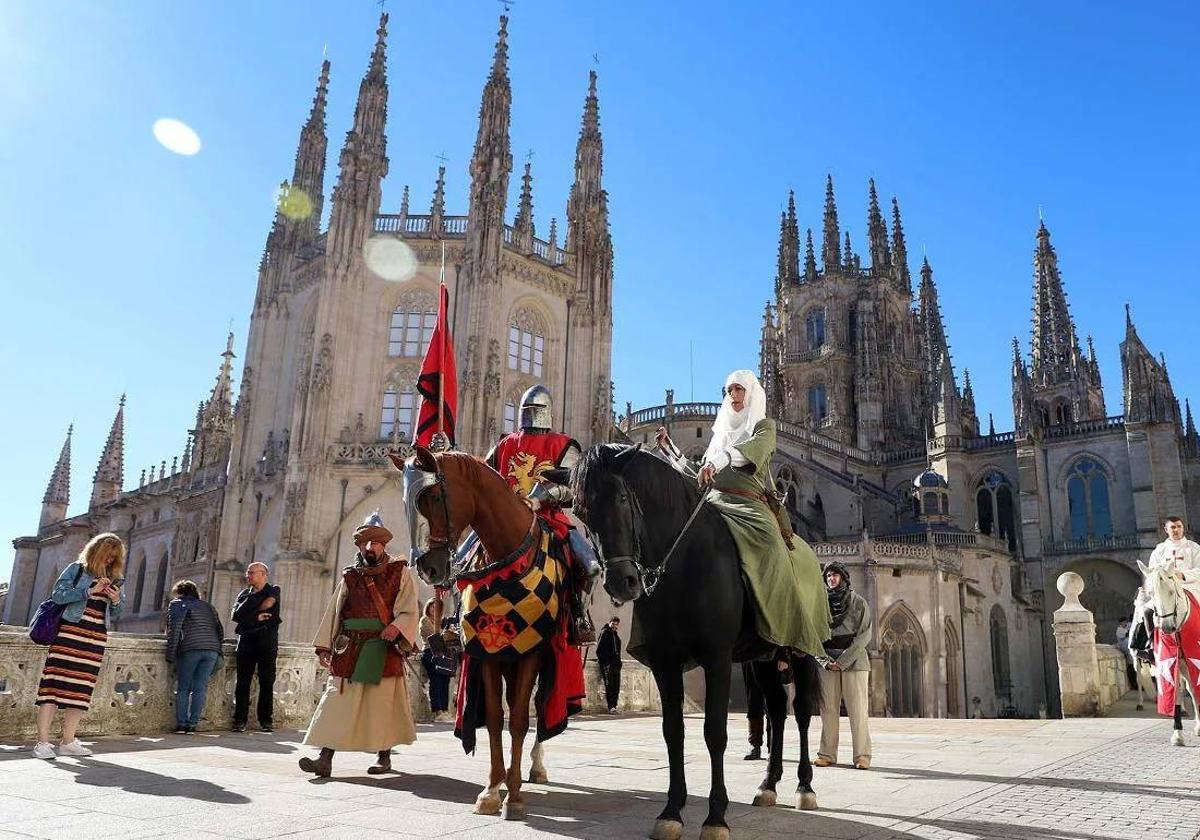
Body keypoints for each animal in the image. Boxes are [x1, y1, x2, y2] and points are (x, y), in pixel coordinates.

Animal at [393, 446, 580, 820]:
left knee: (541, 708)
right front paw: (493, 790)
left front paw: (515, 797)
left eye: (434, 496)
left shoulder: (531, 653)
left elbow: (520, 720)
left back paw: (535, 767)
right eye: (405, 501)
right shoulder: (489, 654)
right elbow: (495, 719)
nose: (428, 569)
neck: (506, 563)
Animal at [573, 444, 825, 835]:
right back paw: (768, 784)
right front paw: (671, 811)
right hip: (764, 656)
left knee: (799, 711)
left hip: (800, 650)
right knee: (777, 709)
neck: (685, 560)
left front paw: (716, 817)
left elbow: (714, 733)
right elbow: (673, 731)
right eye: (581, 512)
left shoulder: (717, 658)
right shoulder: (665, 662)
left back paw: (804, 787)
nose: (621, 582)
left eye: (622, 498)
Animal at [1132, 561, 1200, 744]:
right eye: (1151, 594)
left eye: (1171, 591)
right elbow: (1176, 692)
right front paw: (1177, 734)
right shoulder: (1171, 663)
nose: (1167, 627)